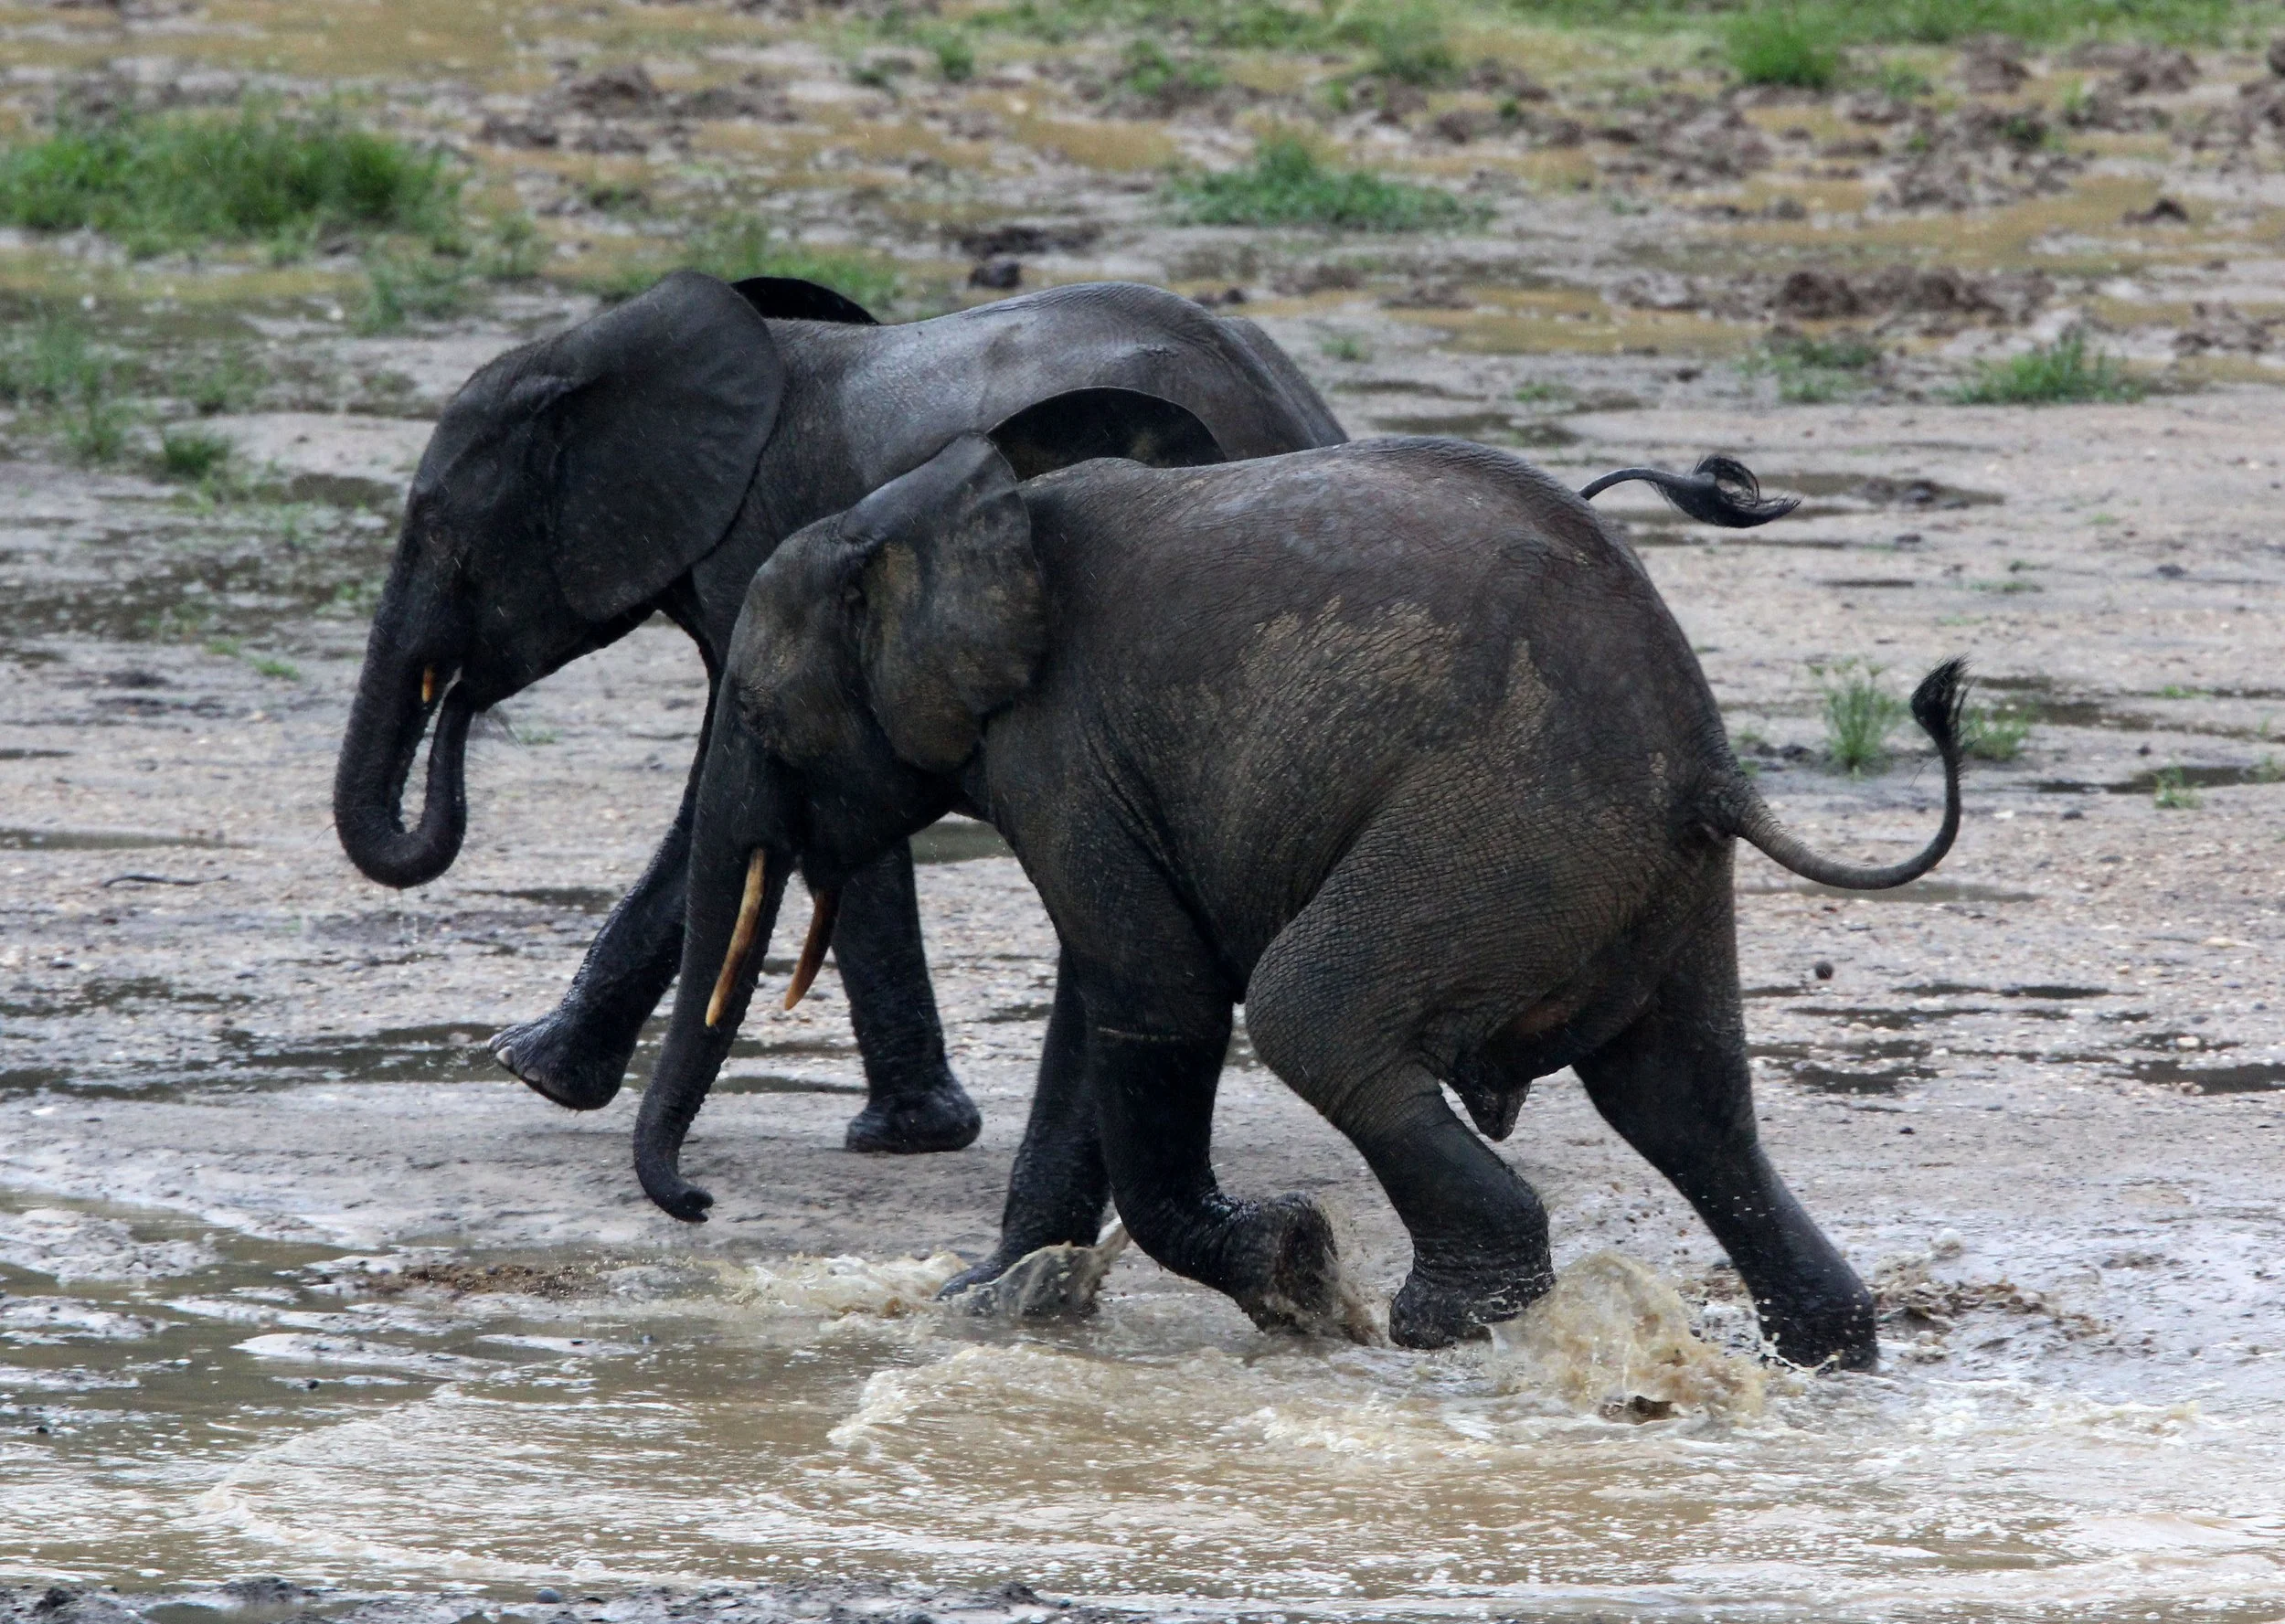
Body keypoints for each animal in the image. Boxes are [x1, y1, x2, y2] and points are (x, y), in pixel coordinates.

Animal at [329, 269, 1345, 1154]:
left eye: (437, 525)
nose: (461, 695)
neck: (599, 351)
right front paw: (534, 1068)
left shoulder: (764, 536)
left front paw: (903, 1138)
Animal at [626, 432, 1967, 1370]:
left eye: (756, 714)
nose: (698, 1202)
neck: (924, 516)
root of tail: (1707, 764)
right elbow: (1098, 1008)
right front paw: (987, 1297)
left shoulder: (1061, 748)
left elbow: (1153, 1002)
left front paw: (1296, 1274)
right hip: (1643, 878)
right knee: (1687, 1102)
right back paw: (1826, 1356)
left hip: (1500, 827)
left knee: (1311, 1015)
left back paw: (1446, 1324)